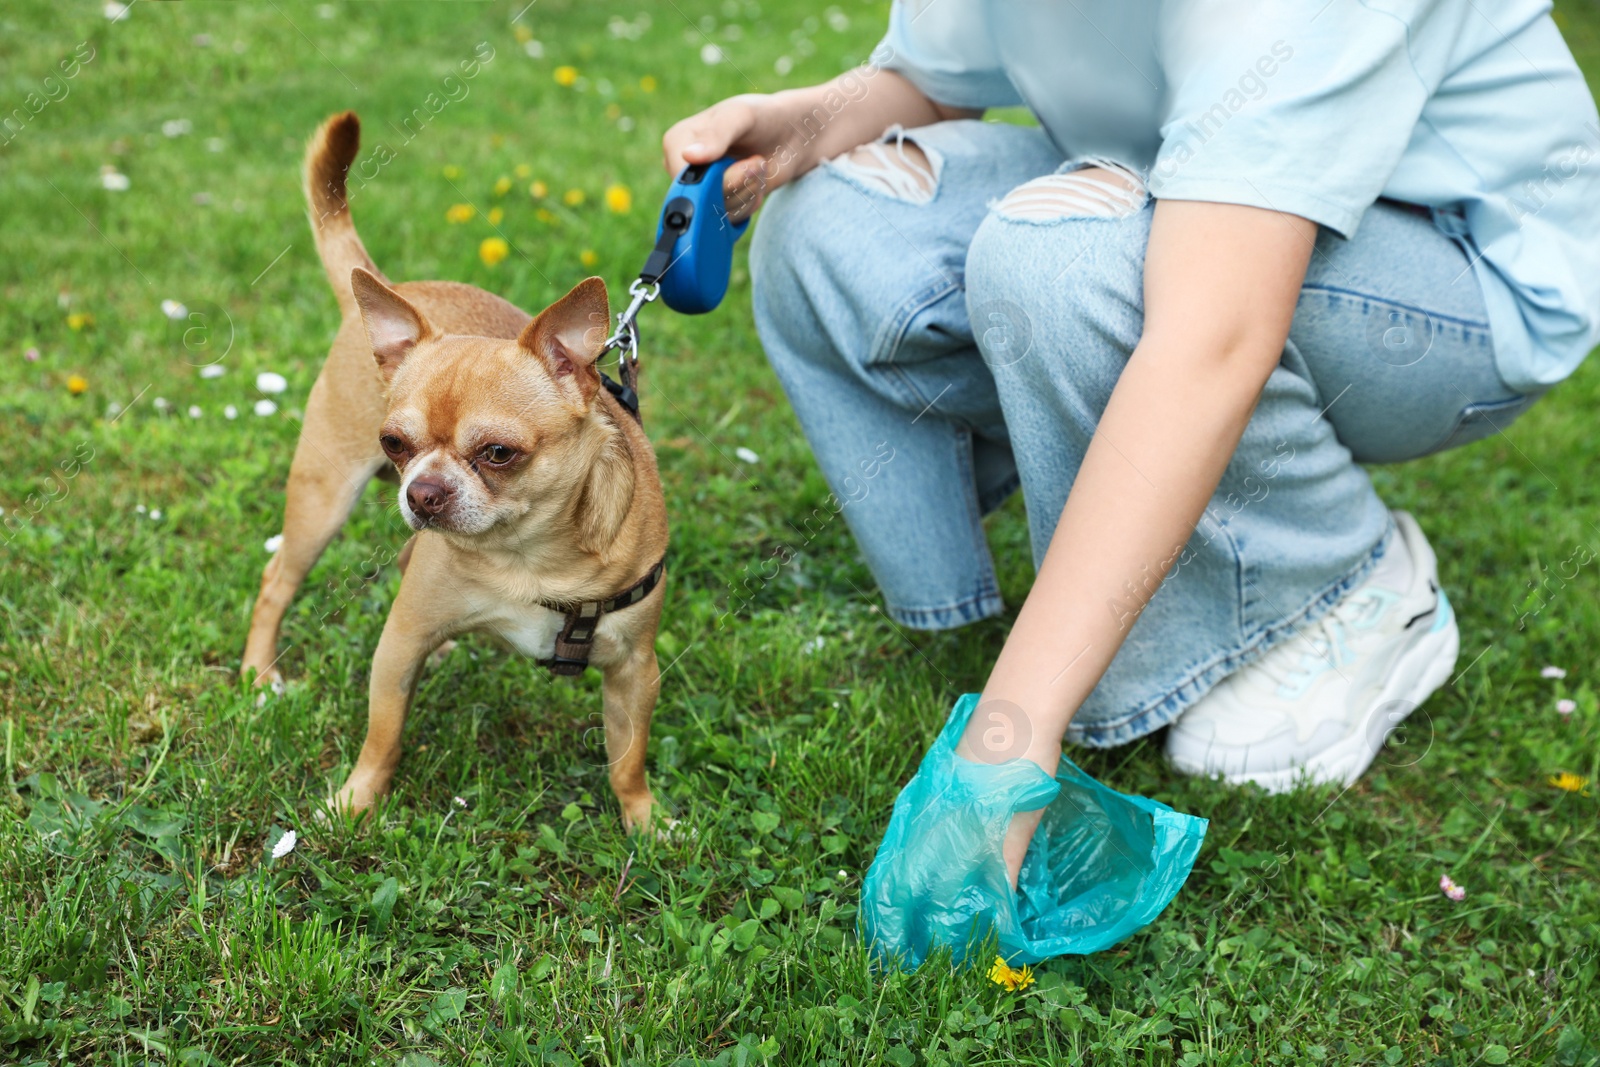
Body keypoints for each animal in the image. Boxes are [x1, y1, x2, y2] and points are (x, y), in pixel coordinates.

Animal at [240, 112, 665, 831]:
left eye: (498, 453)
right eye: (395, 441)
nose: (424, 491)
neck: (531, 559)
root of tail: (393, 293)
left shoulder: (636, 669)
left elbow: (627, 758)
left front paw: (646, 821)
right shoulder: (397, 646)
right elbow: (383, 736)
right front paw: (353, 805)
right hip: (322, 499)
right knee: (277, 580)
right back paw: (257, 674)